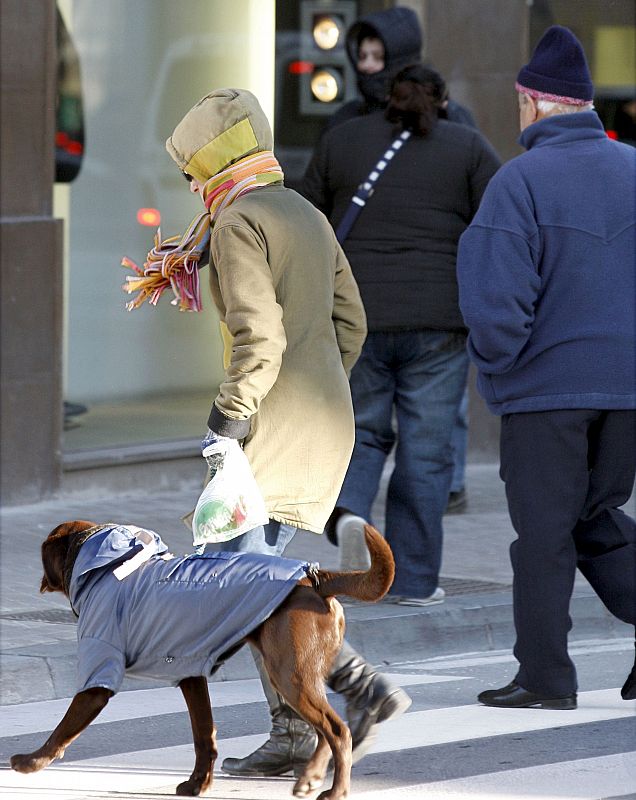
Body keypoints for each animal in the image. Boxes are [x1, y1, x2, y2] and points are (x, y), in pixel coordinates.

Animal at [12, 520, 396, 796]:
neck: (103, 567)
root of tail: (314, 580)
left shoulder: (98, 678)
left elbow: (61, 730)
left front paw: (31, 762)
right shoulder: (190, 673)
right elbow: (203, 736)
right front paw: (198, 784)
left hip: (291, 674)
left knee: (337, 730)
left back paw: (334, 790)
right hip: (288, 671)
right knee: (325, 730)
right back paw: (311, 776)